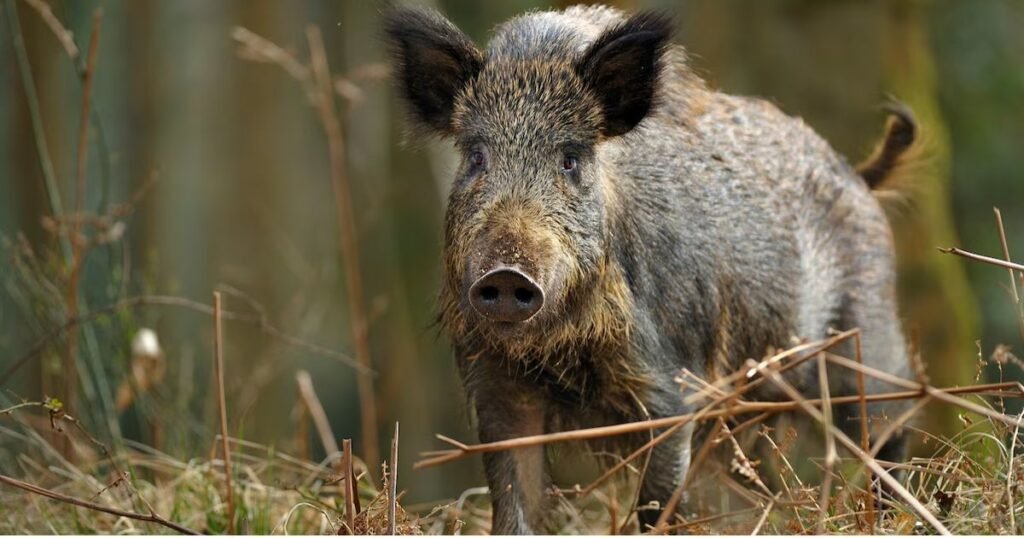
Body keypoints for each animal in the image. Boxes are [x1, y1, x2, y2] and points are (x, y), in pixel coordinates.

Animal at [385, 5, 914, 534]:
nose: (507, 275)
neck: (562, 351)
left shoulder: (670, 386)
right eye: (476, 156)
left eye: (570, 159)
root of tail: (860, 177)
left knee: (891, 421)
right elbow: (515, 501)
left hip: (868, 337)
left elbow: (658, 502)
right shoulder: (495, 386)